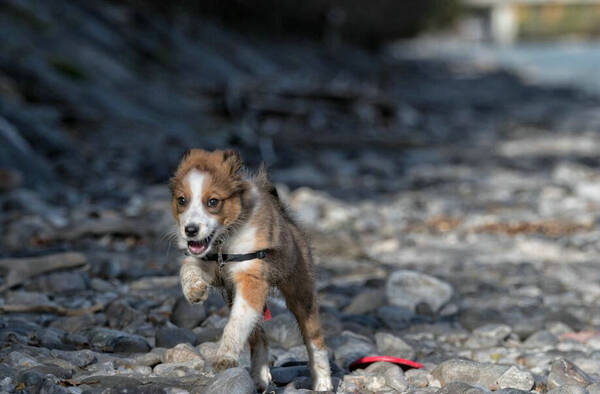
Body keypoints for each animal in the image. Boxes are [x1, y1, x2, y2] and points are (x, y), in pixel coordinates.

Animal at [169, 149, 332, 392]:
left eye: (212, 202)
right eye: (182, 200)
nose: (190, 230)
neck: (223, 243)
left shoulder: (251, 279)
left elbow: (236, 323)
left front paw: (225, 356)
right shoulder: (208, 262)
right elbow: (188, 267)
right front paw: (194, 290)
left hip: (301, 294)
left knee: (315, 340)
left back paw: (323, 382)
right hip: (232, 296)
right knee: (259, 336)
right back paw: (259, 376)